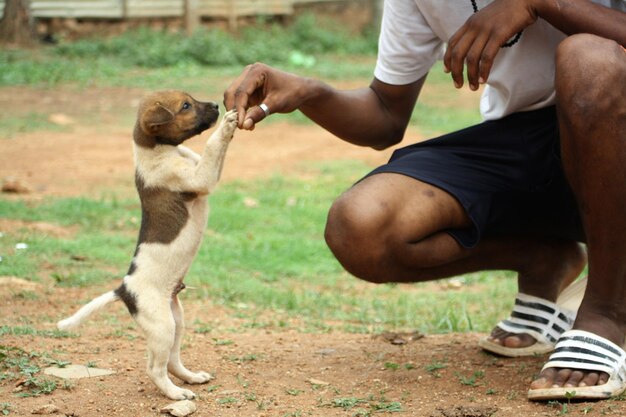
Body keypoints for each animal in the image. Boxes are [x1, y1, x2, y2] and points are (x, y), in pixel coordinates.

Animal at [57, 92, 236, 400]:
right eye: (185, 106)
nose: (216, 105)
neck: (157, 151)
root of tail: (124, 290)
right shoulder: (199, 178)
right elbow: (212, 147)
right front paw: (228, 124)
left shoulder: (196, 163)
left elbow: (209, 153)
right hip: (162, 326)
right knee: (154, 368)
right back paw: (176, 393)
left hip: (176, 320)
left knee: (172, 361)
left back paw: (190, 378)